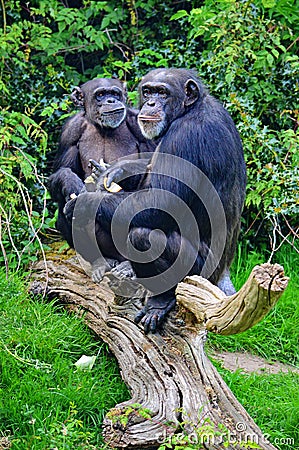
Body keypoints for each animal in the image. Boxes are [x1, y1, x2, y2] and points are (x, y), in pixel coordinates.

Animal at [48, 76, 156, 250]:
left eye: (114, 93)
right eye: (100, 95)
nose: (111, 100)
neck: (103, 127)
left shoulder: (141, 123)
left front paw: (116, 170)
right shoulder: (69, 132)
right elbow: (59, 173)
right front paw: (70, 181)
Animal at [64, 67, 247, 334]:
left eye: (162, 92)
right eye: (148, 91)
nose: (151, 103)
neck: (187, 110)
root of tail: (222, 274)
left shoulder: (185, 137)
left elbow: (160, 202)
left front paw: (85, 203)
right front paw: (116, 171)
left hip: (200, 274)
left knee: (143, 235)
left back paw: (162, 299)